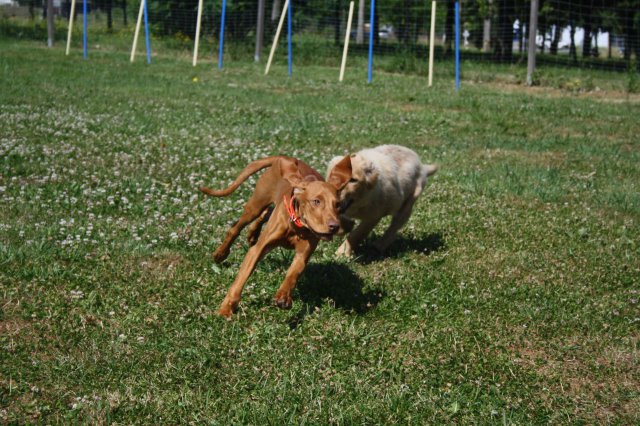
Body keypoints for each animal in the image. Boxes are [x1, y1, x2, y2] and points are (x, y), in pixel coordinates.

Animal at [201, 156, 348, 316]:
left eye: (337, 205)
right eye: (316, 201)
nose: (335, 226)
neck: (297, 226)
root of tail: (285, 157)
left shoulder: (302, 256)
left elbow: (292, 275)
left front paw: (283, 296)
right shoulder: (257, 250)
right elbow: (241, 279)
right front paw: (226, 308)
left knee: (266, 213)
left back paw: (253, 233)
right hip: (255, 206)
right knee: (236, 228)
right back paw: (220, 253)